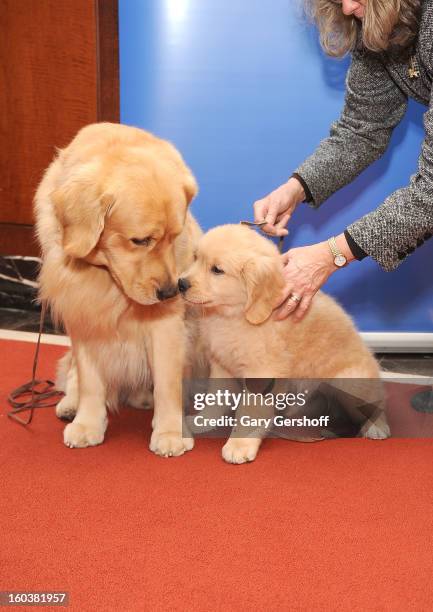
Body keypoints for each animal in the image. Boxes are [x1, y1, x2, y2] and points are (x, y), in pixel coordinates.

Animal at [34, 122, 202, 454]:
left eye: (174, 236)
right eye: (140, 240)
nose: (169, 292)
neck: (106, 279)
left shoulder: (166, 326)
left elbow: (167, 384)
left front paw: (170, 433)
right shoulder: (83, 315)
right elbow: (90, 381)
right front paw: (87, 423)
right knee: (72, 373)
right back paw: (70, 404)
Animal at [177, 225, 390, 464]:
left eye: (217, 270)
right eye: (196, 258)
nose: (181, 284)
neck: (235, 315)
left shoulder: (261, 373)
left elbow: (249, 413)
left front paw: (240, 444)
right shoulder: (222, 364)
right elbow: (215, 399)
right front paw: (203, 420)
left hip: (352, 382)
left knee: (377, 403)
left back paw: (376, 427)